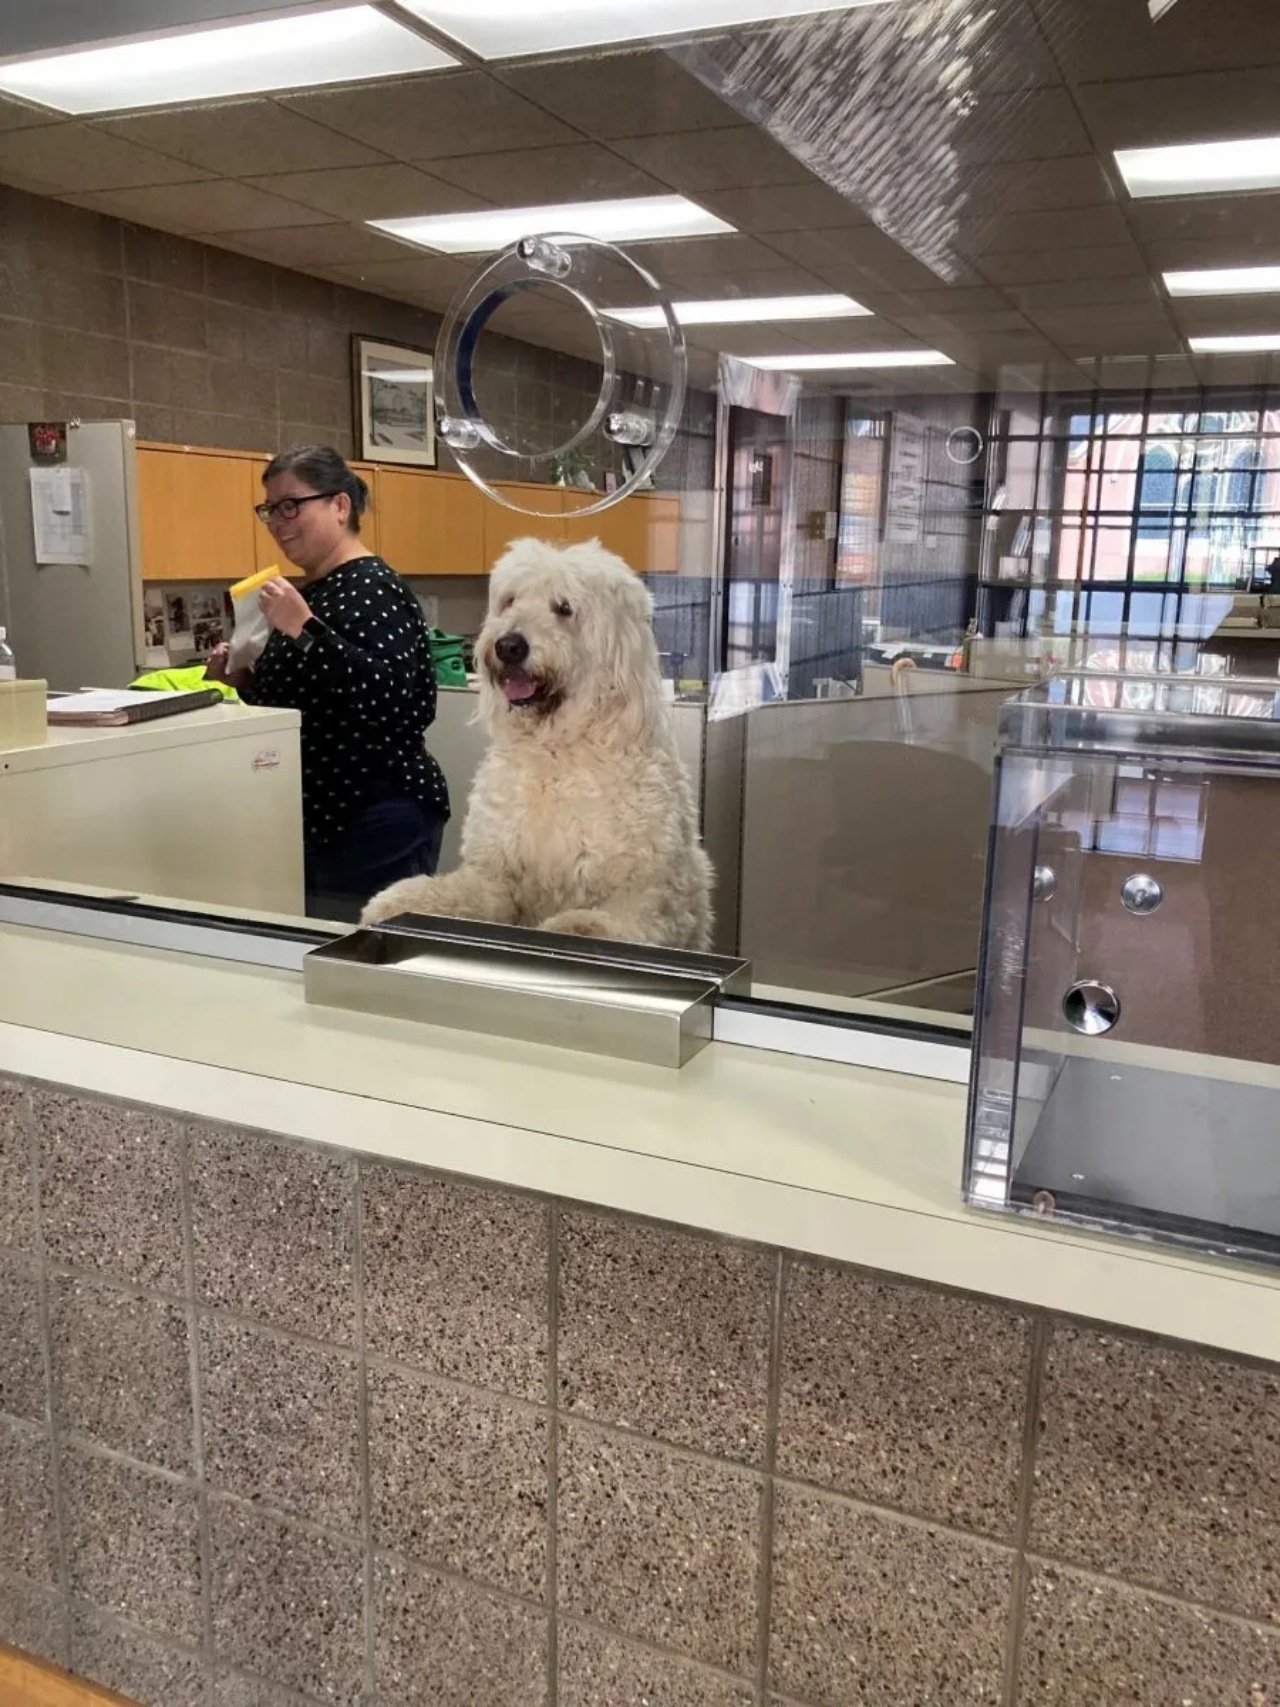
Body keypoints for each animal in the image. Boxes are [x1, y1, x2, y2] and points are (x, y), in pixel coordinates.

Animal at [361, 535, 716, 949]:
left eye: (564, 607)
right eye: (510, 600)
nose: (508, 645)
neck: (557, 752)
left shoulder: (650, 891)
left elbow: (620, 918)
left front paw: (577, 928)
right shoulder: (497, 875)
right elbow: (460, 893)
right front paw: (398, 901)